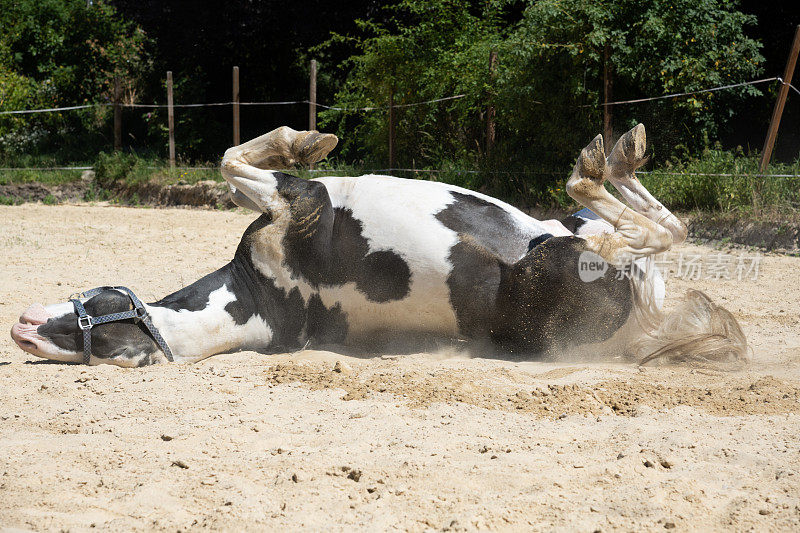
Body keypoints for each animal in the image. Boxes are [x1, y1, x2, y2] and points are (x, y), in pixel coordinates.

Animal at [9, 124, 752, 366]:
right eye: (98, 347)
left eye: (89, 327)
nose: (22, 328)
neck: (260, 297)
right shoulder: (293, 201)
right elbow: (232, 160)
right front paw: (303, 140)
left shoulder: (286, 202)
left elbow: (233, 159)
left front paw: (308, 139)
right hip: (571, 256)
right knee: (642, 230)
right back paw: (603, 163)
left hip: (565, 234)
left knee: (649, 224)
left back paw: (616, 155)